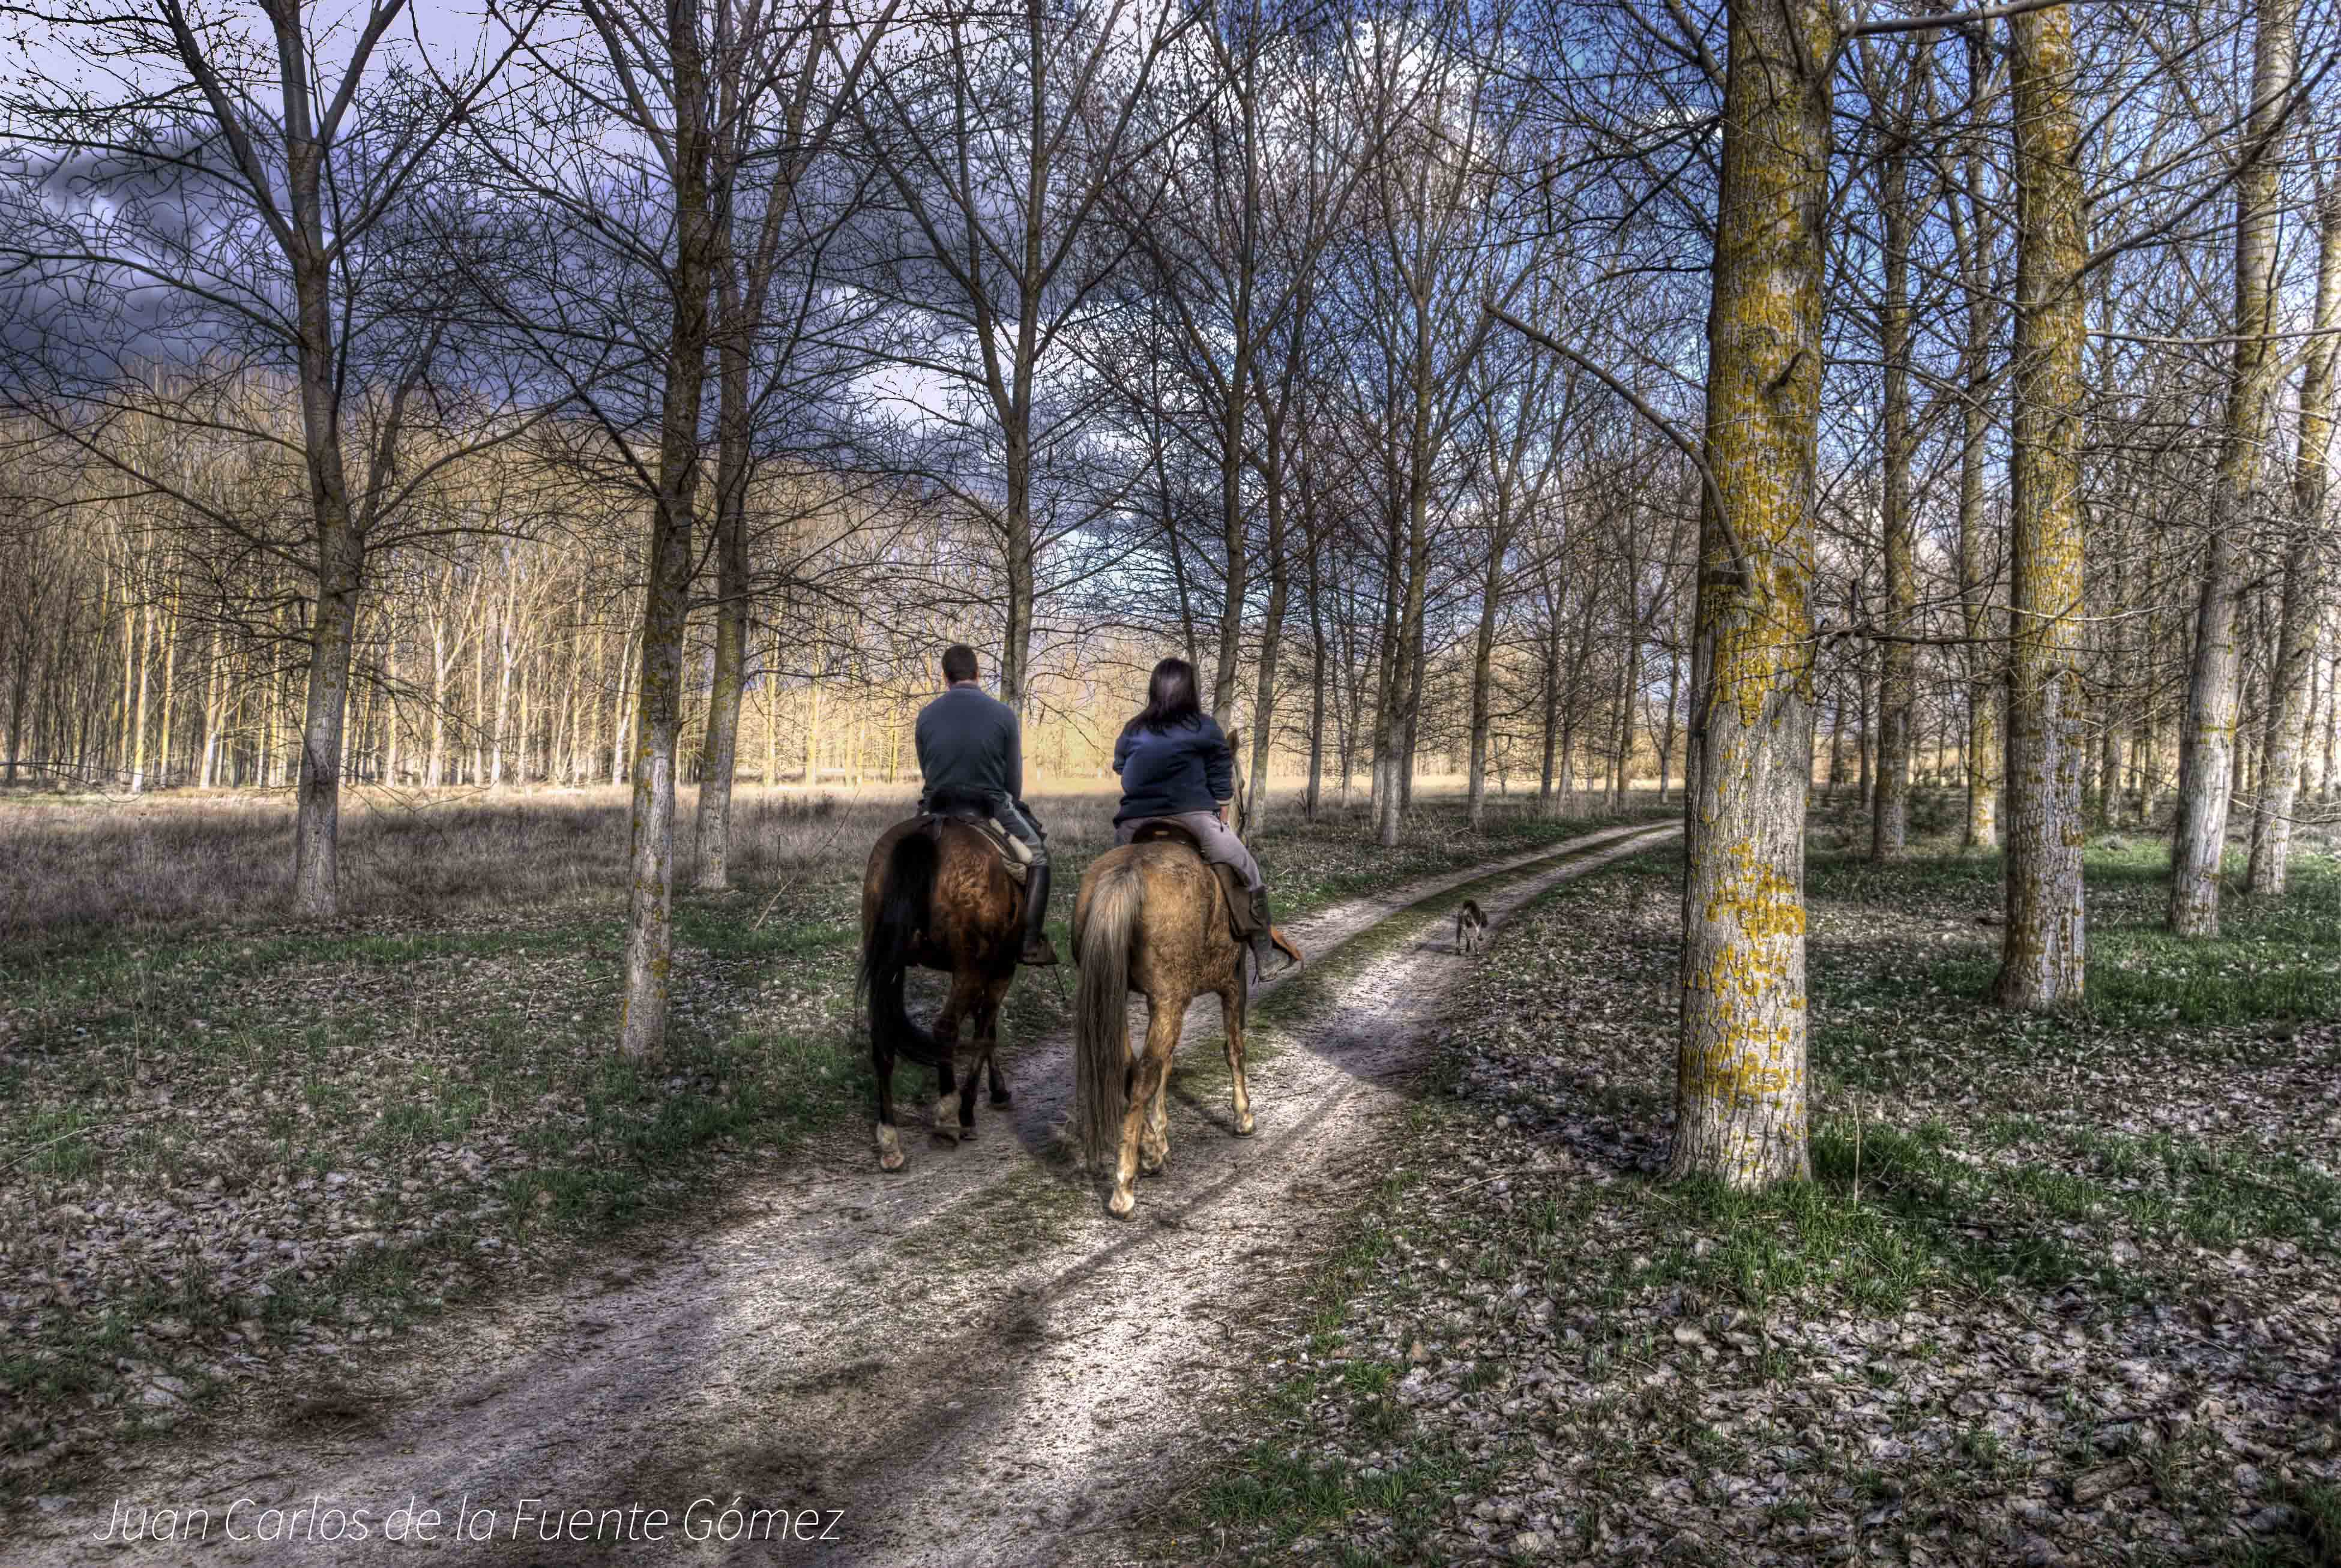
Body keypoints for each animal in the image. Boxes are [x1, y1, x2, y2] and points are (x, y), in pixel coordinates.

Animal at [861, 805, 1025, 1174]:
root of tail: (929, 832)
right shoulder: (999, 970)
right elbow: (985, 1032)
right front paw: (970, 1112)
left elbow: (986, 1029)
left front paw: (996, 1091)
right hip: (970, 968)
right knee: (946, 1029)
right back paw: (949, 1119)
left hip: (889, 965)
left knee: (883, 1037)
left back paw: (890, 1140)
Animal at [1072, 828, 1301, 1226]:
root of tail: (1126, 874)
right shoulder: (1231, 985)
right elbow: (1234, 1050)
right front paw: (1243, 1117)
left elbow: (1167, 1067)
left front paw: (1160, 1138)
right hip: (1169, 1000)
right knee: (1143, 1076)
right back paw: (1124, 1189)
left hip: (1122, 997)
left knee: (1132, 1070)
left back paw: (1148, 1152)